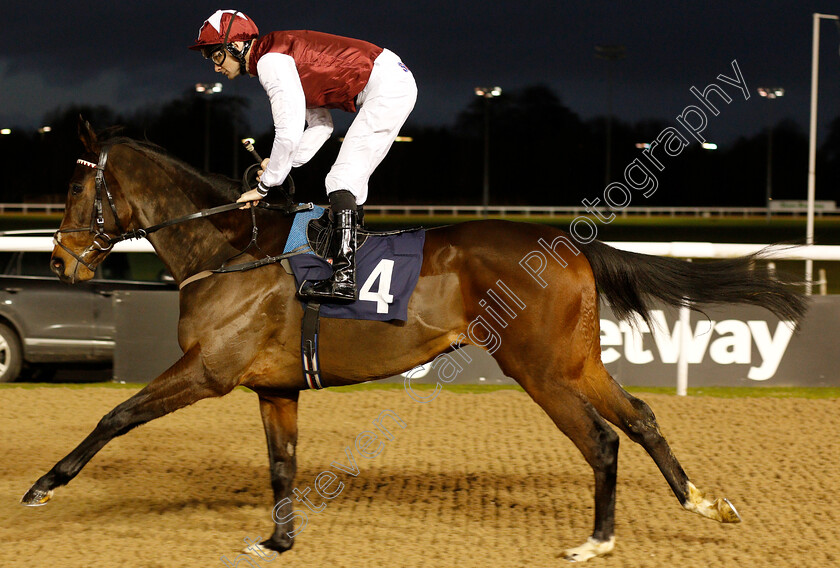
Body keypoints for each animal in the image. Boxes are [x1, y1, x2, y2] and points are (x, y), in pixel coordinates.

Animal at [19, 122, 808, 560]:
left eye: (76, 189)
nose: (58, 260)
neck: (228, 249)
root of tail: (569, 243)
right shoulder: (274, 385)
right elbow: (282, 465)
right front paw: (278, 541)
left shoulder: (210, 369)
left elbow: (116, 415)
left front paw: (42, 486)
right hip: (577, 359)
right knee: (640, 418)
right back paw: (704, 502)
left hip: (539, 368)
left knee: (602, 440)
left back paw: (597, 540)